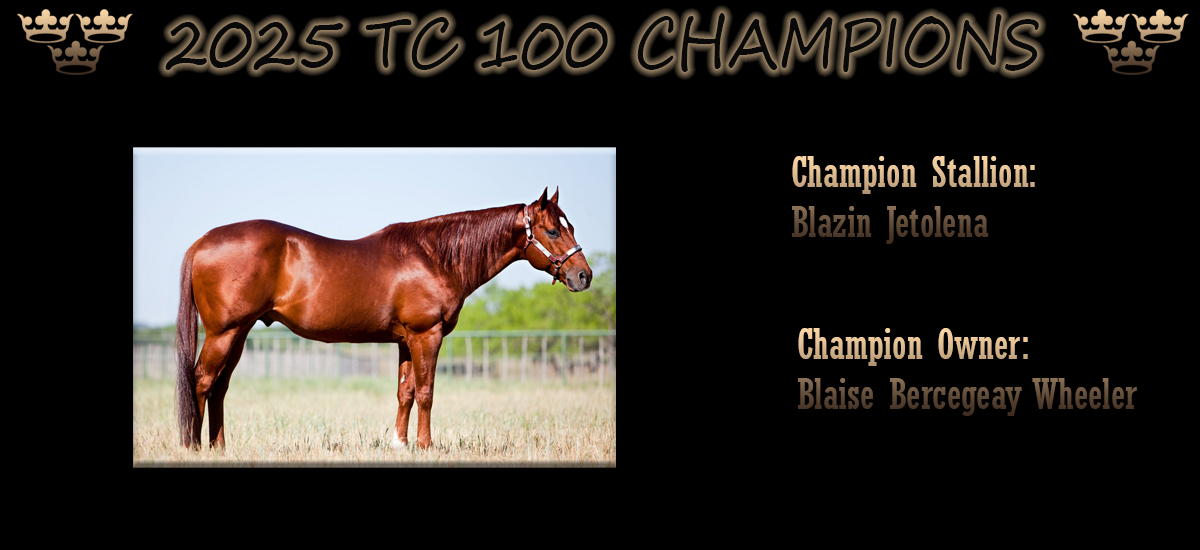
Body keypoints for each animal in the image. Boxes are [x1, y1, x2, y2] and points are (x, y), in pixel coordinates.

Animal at [175, 187, 591, 450]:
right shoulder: (427, 335)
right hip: (223, 332)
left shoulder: (406, 340)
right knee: (202, 381)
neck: (433, 257)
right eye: (553, 230)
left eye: (570, 226)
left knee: (220, 387)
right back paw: (193, 447)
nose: (583, 276)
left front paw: (400, 444)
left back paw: (219, 447)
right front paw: (426, 446)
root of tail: (202, 241)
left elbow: (405, 392)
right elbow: (426, 392)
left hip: (239, 333)